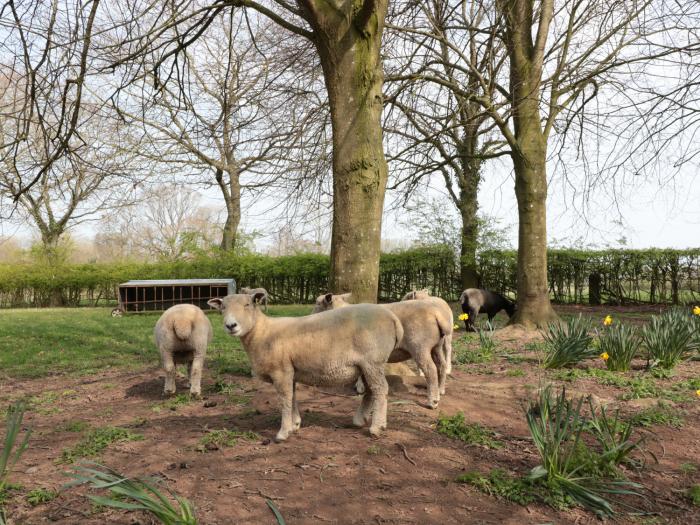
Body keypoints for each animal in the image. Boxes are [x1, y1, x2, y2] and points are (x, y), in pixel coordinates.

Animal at [208, 292, 402, 440]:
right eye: (222, 308)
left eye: (247, 304)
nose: (231, 325)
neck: (262, 333)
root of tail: (392, 318)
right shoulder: (290, 371)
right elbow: (293, 397)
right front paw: (295, 424)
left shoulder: (281, 371)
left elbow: (285, 399)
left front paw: (283, 432)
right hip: (366, 365)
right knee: (371, 390)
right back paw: (360, 420)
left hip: (373, 361)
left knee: (380, 389)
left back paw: (377, 427)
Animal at [312, 292, 448, 408]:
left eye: (318, 303)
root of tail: (436, 315)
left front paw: (360, 387)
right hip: (436, 346)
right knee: (442, 365)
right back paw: (441, 391)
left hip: (420, 346)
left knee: (431, 370)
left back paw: (433, 401)